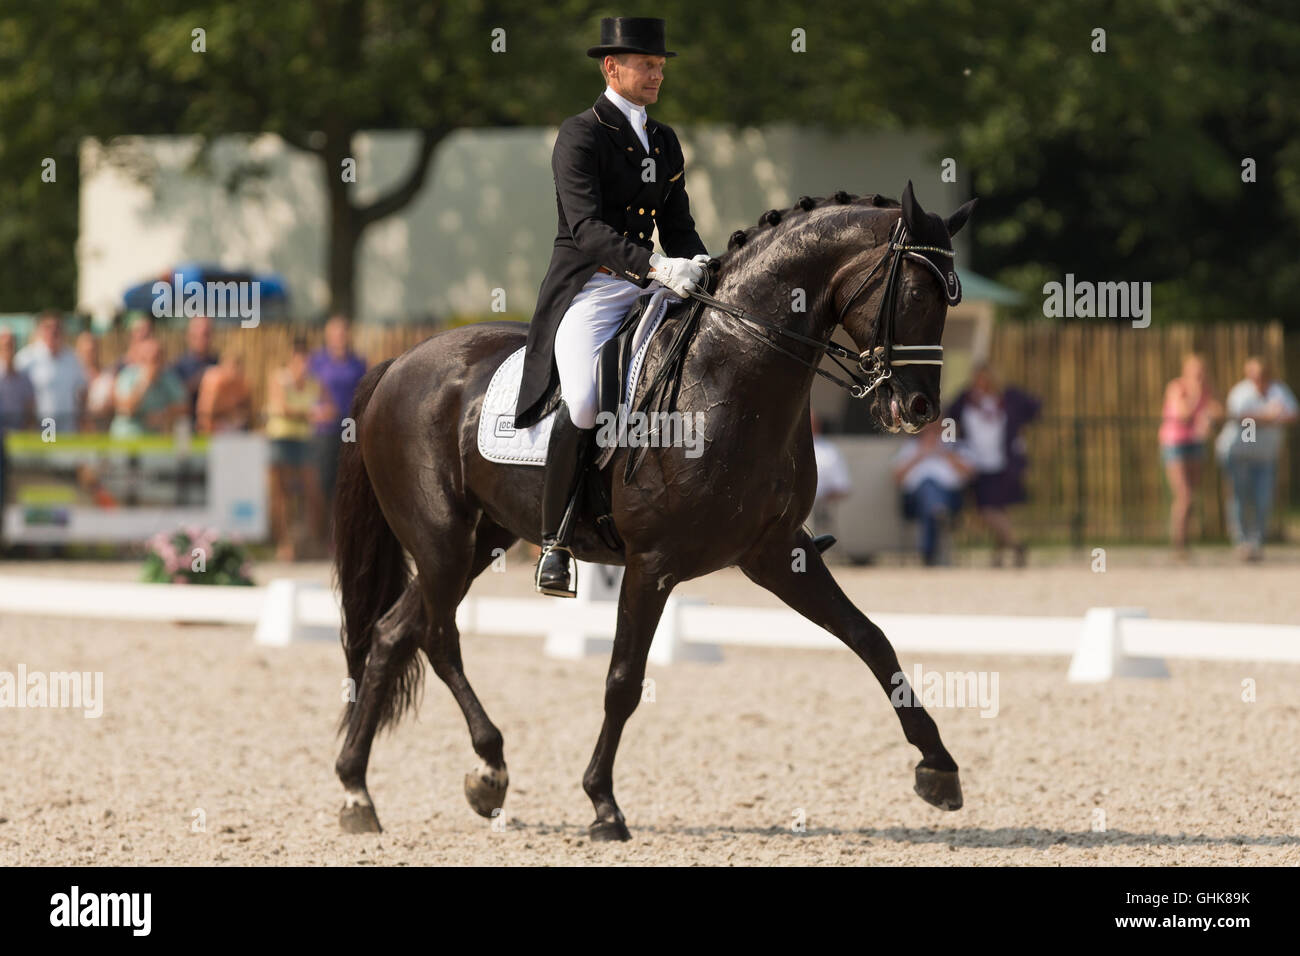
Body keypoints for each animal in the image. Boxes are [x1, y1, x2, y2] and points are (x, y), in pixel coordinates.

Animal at [332, 182, 976, 841]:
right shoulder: (652, 563)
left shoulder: (777, 552)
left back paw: (359, 791)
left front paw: (939, 768)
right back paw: (487, 769)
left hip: (482, 540)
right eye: (918, 293)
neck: (730, 370)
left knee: (392, 633)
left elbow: (871, 639)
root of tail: (398, 364)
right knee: (438, 638)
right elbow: (623, 680)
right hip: (441, 537)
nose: (919, 409)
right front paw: (603, 804)